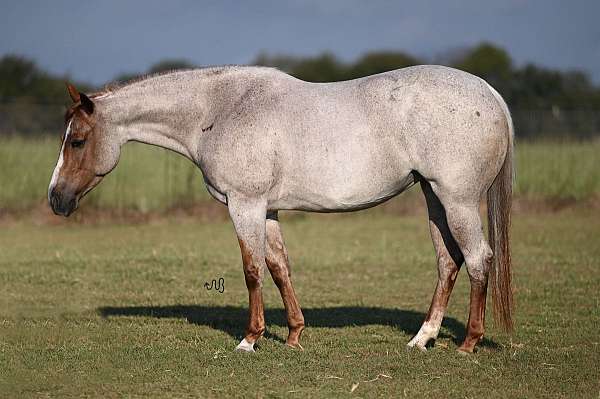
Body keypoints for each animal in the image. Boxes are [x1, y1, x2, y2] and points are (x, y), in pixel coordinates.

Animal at [49, 64, 512, 354]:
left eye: (77, 140)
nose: (56, 199)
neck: (220, 108)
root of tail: (489, 92)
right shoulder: (266, 211)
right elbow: (278, 267)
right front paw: (293, 335)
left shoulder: (245, 205)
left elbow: (252, 270)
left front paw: (250, 339)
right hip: (433, 198)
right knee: (448, 262)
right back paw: (423, 338)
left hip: (457, 201)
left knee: (477, 259)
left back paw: (468, 343)